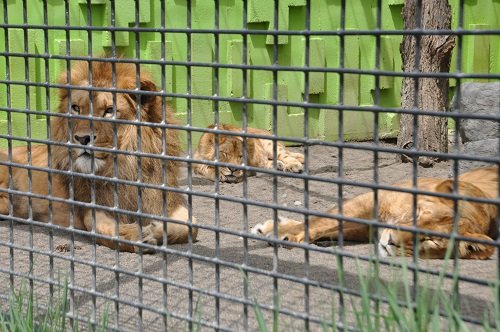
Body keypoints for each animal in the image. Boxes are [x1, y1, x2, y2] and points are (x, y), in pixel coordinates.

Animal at [0, 60, 199, 252]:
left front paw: (154, 231)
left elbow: (191, 225)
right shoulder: (93, 206)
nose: (82, 138)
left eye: (109, 110)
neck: (125, 167)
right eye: (76, 108)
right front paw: (135, 235)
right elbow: (106, 230)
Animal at [252, 167, 498, 258]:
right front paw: (283, 231)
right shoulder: (374, 200)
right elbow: (323, 220)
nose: (391, 241)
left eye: (431, 241)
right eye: (417, 213)